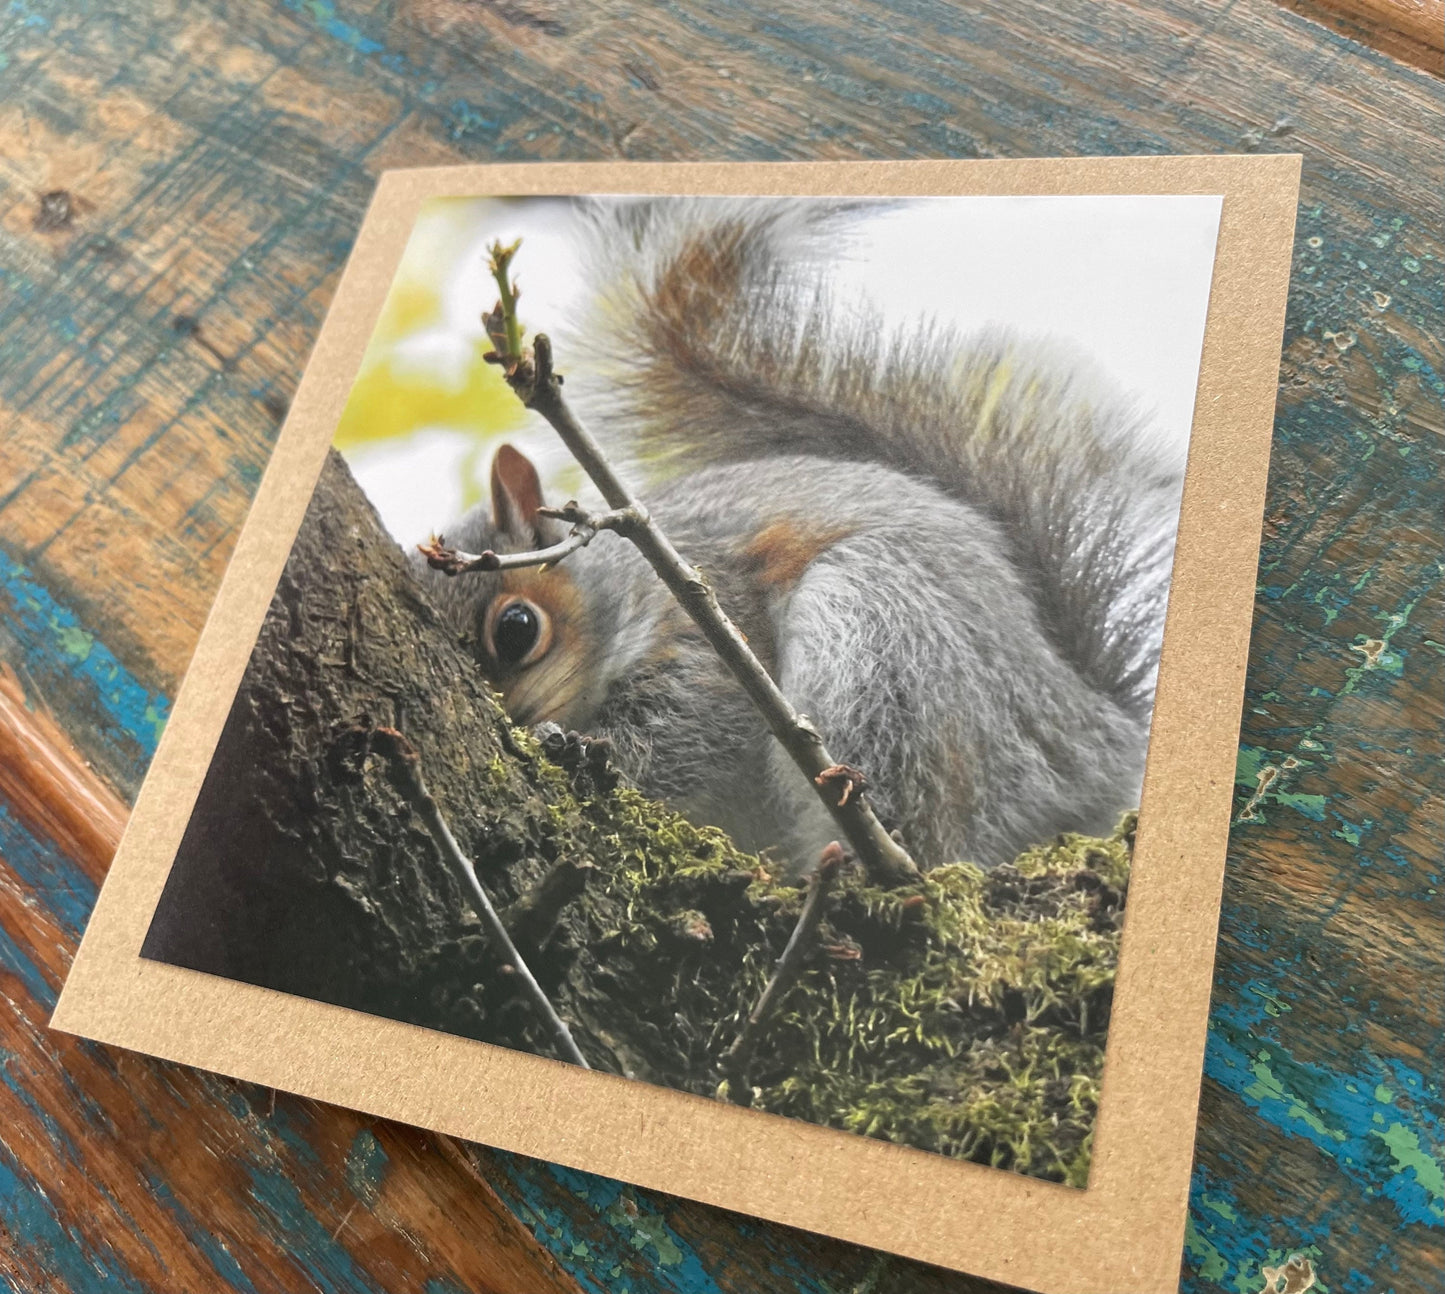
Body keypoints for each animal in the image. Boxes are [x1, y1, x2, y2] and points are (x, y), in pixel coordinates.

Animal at [415, 199, 1185, 874]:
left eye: (517, 629)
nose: (509, 722)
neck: (625, 588)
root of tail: (1096, 747)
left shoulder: (709, 635)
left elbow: (690, 737)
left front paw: (580, 751)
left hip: (886, 633)